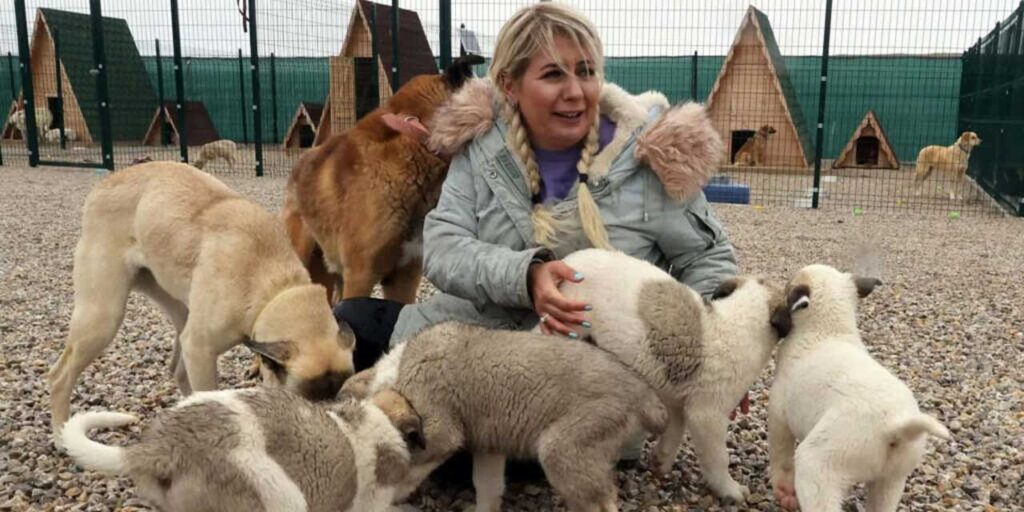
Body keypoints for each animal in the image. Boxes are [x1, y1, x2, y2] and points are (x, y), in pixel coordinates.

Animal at [48, 162, 356, 436]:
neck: (274, 287)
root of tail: (104, 184)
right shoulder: (200, 350)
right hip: (103, 318)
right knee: (60, 376)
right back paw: (63, 438)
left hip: (180, 311)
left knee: (177, 370)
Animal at [339, 321, 667, 512]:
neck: (397, 368)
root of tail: (644, 391)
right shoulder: (489, 445)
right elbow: (488, 487)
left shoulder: (441, 433)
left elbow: (408, 470)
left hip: (565, 446)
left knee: (603, 501)